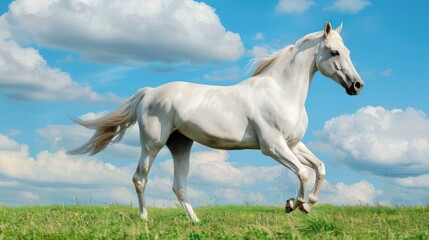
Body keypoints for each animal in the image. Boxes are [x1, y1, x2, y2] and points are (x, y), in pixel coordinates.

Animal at [68, 21, 362, 222]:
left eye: (348, 50)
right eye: (334, 52)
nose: (357, 85)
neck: (280, 92)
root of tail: (149, 92)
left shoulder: (293, 144)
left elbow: (319, 168)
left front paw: (308, 203)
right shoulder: (273, 146)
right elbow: (302, 172)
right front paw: (294, 203)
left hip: (181, 145)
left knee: (178, 186)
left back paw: (195, 221)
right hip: (152, 144)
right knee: (140, 178)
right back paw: (144, 218)